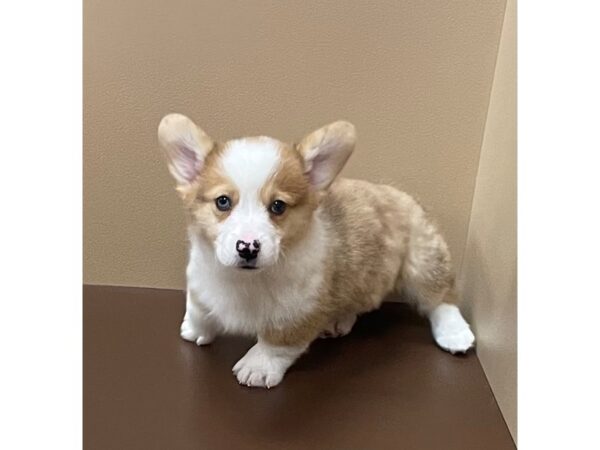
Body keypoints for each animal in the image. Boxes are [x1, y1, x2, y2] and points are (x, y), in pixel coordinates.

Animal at [158, 114, 474, 388]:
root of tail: (402, 194)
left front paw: (258, 366)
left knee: (441, 299)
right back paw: (339, 320)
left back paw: (455, 333)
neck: (243, 280)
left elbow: (277, 342)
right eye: (223, 202)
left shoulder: (297, 310)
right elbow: (198, 308)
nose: (248, 248)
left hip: (423, 261)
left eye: (278, 206)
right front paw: (195, 330)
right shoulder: (199, 279)